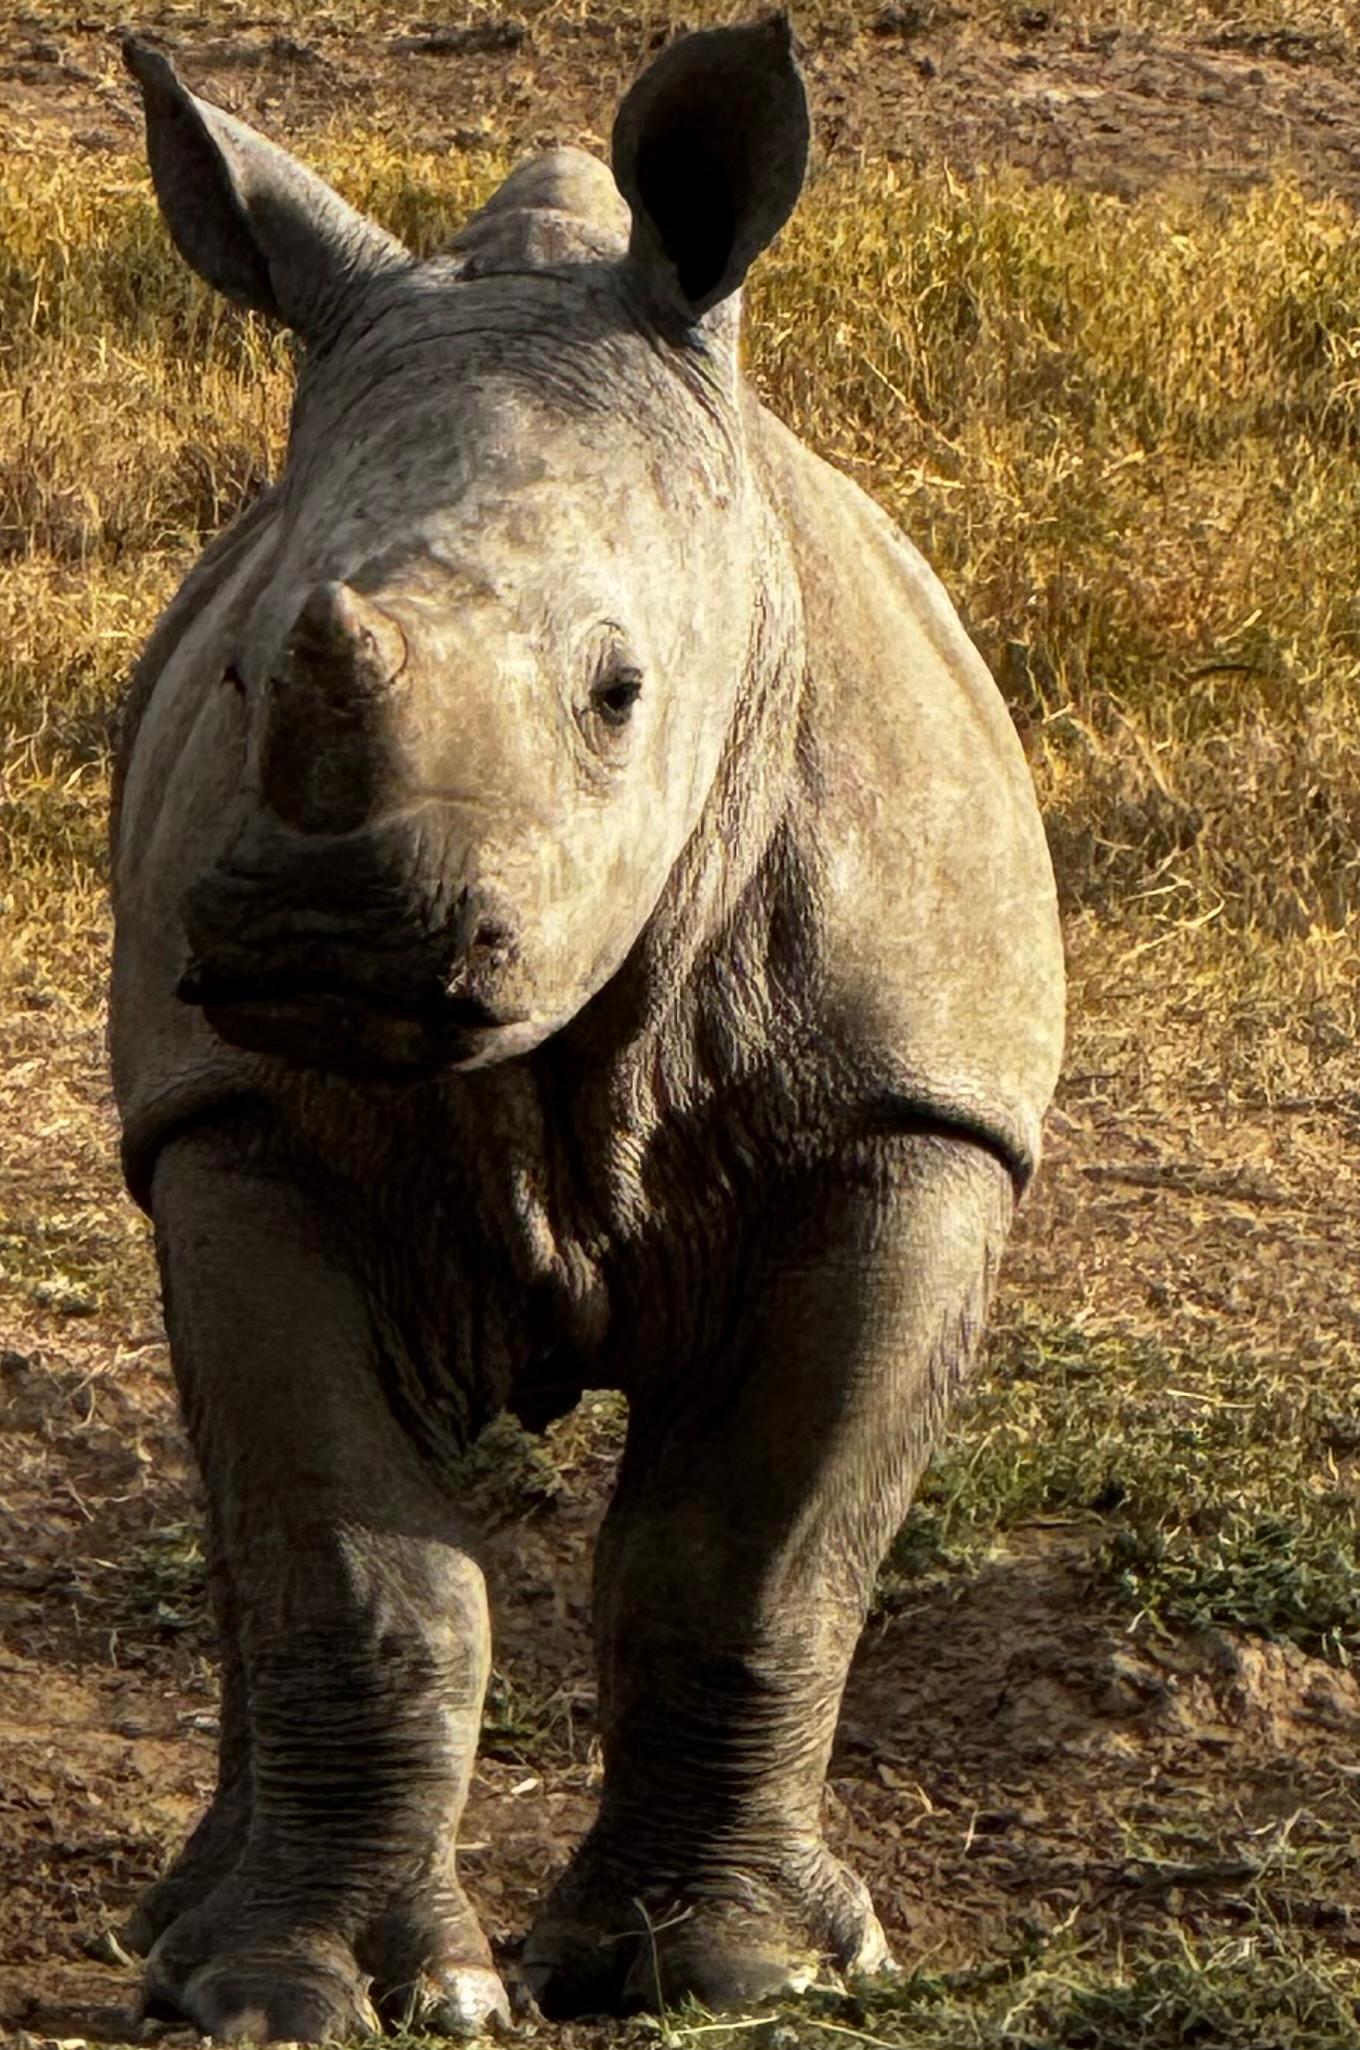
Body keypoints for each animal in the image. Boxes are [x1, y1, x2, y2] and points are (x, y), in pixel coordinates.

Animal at [111, 18, 1064, 2042]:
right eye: (238, 676)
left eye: (622, 692)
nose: (330, 933)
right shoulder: (237, 1112)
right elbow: (357, 1568)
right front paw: (306, 1995)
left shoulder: (909, 1115)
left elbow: (750, 1561)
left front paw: (728, 1968)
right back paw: (184, 1950)